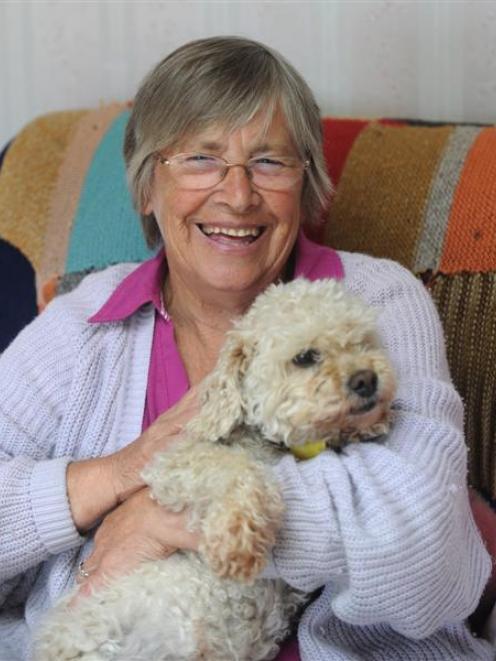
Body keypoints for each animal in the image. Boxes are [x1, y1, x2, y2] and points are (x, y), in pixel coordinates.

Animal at [34, 278, 396, 660]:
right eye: (305, 357)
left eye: (362, 341)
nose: (367, 380)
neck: (270, 441)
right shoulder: (172, 463)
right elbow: (236, 467)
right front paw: (238, 538)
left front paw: (368, 424)